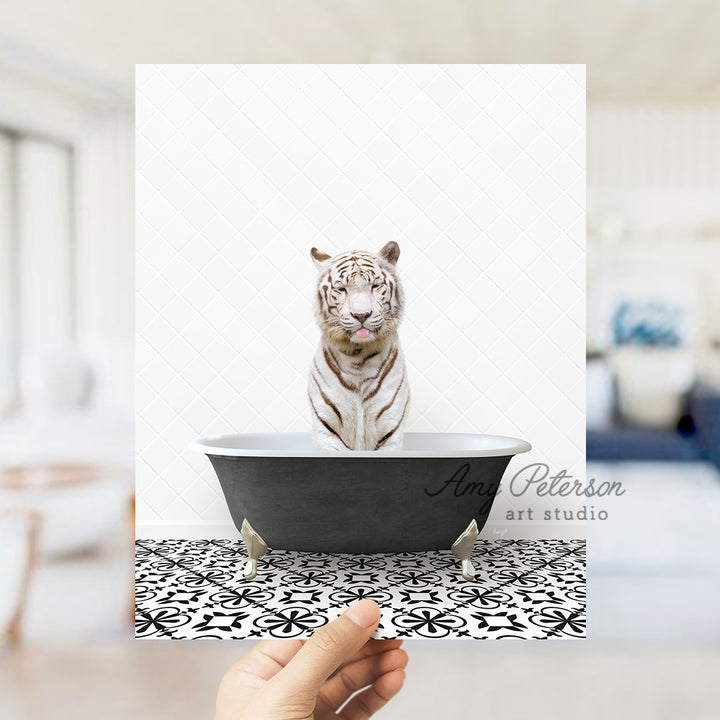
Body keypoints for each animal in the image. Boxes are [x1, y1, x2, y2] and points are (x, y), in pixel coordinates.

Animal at [308, 242, 410, 450]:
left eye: (375, 286)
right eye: (341, 289)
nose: (361, 315)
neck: (358, 356)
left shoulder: (391, 428)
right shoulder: (325, 428)